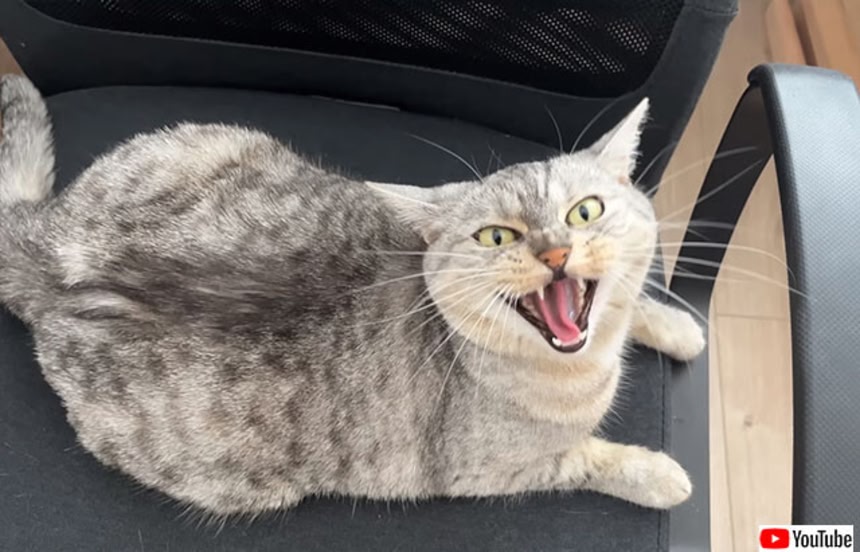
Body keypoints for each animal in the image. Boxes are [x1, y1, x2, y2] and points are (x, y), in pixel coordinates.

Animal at [0, 74, 704, 516]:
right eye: (496, 235)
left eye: (585, 212)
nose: (554, 252)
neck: (585, 361)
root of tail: (46, 244)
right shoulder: (489, 471)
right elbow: (583, 459)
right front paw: (659, 475)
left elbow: (640, 301)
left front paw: (679, 327)